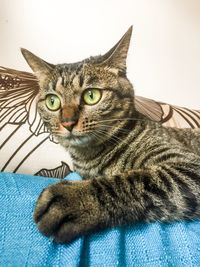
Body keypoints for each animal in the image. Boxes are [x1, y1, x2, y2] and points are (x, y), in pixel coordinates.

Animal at [20, 26, 200, 245]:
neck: (89, 158)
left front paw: (75, 198)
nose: (67, 122)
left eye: (91, 96)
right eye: (52, 102)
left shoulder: (189, 165)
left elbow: (134, 180)